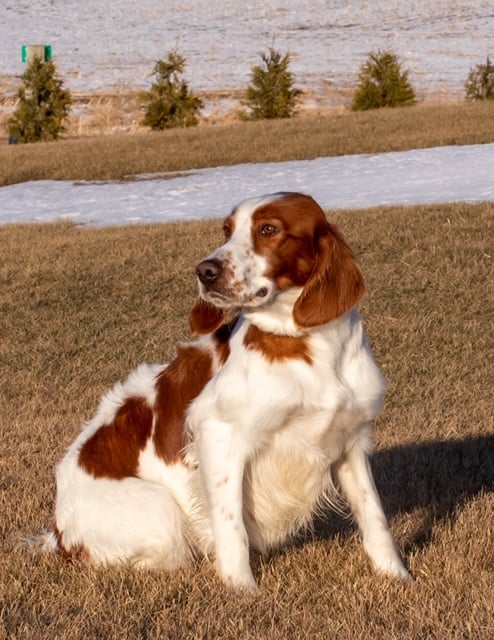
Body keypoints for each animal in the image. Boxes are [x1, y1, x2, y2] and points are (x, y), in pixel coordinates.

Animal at [37, 190, 410, 592]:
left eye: (269, 229)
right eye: (227, 230)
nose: (205, 271)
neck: (307, 345)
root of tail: (59, 534)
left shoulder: (350, 440)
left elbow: (374, 515)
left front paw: (397, 576)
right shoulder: (219, 435)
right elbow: (232, 527)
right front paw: (241, 589)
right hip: (159, 509)